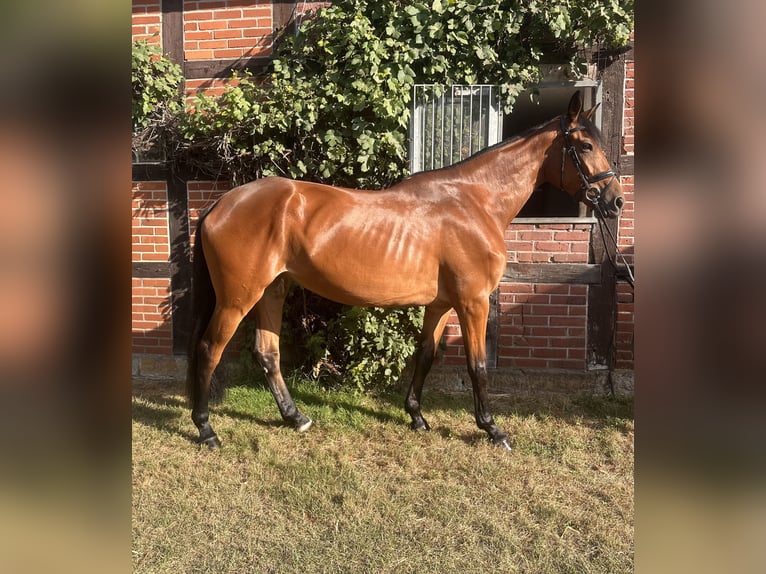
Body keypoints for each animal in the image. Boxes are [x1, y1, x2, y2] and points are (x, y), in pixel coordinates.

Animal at [187, 91, 624, 451]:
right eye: (585, 146)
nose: (615, 201)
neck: (474, 202)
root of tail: (222, 203)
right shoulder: (473, 302)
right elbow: (478, 365)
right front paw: (492, 429)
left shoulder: (442, 304)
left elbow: (425, 354)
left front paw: (416, 415)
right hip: (238, 297)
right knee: (210, 349)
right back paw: (206, 429)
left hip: (272, 290)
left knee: (267, 353)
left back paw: (296, 418)